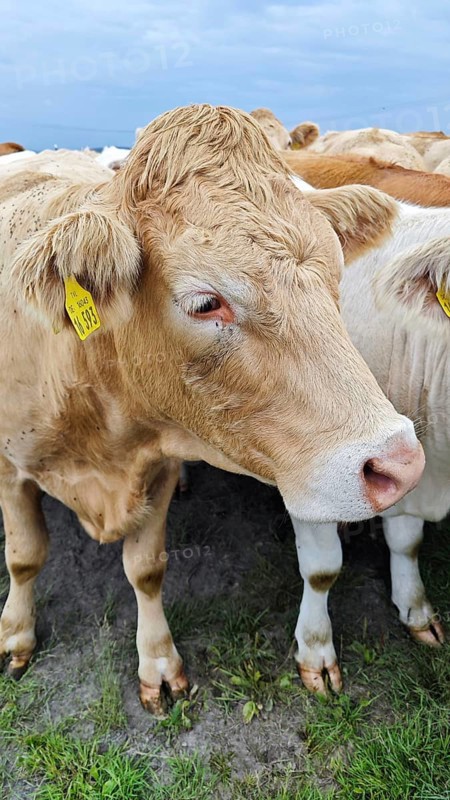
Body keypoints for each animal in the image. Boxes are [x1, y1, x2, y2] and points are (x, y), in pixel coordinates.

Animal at [0, 104, 424, 716]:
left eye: (335, 274)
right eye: (205, 302)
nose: (399, 463)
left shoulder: (156, 467)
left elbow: (147, 570)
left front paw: (157, 663)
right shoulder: (11, 467)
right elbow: (25, 556)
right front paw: (16, 636)